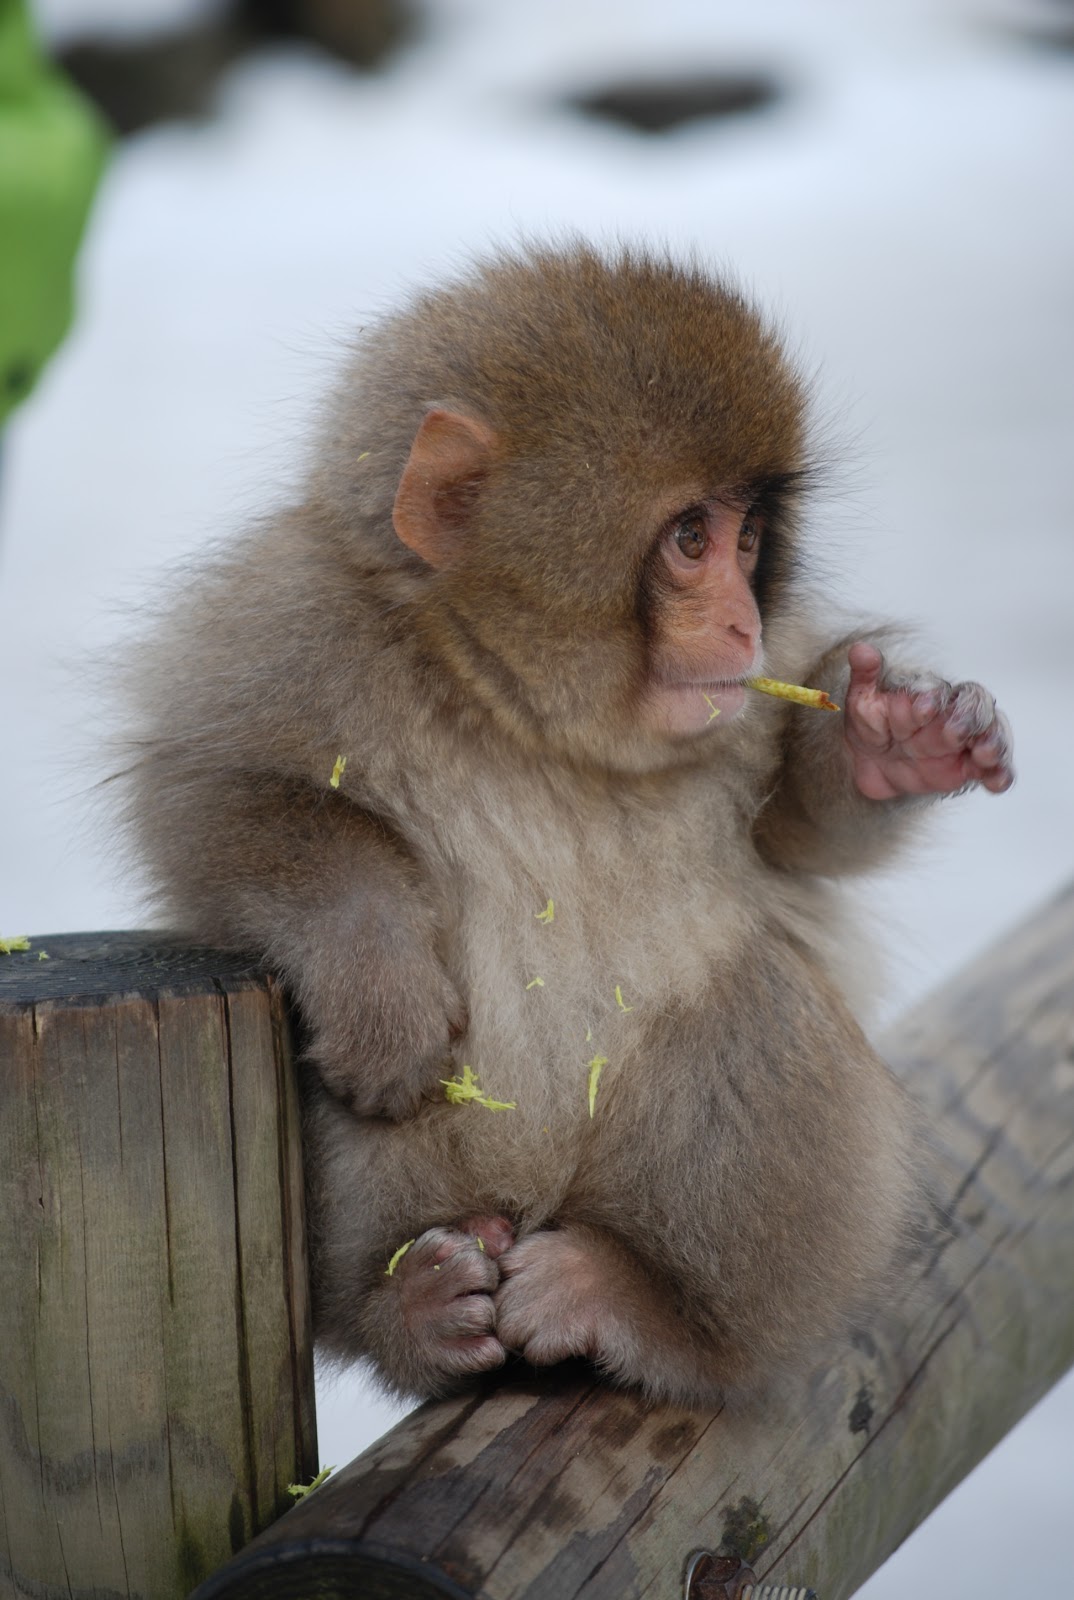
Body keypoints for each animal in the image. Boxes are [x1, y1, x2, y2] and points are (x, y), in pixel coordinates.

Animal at [117, 244, 1014, 1407]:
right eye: (690, 538)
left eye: (750, 539)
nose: (744, 622)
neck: (523, 713)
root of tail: (537, 1211)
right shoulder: (297, 619)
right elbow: (209, 795)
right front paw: (378, 976)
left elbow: (796, 839)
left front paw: (896, 740)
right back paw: (403, 1303)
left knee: (757, 996)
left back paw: (659, 1314)